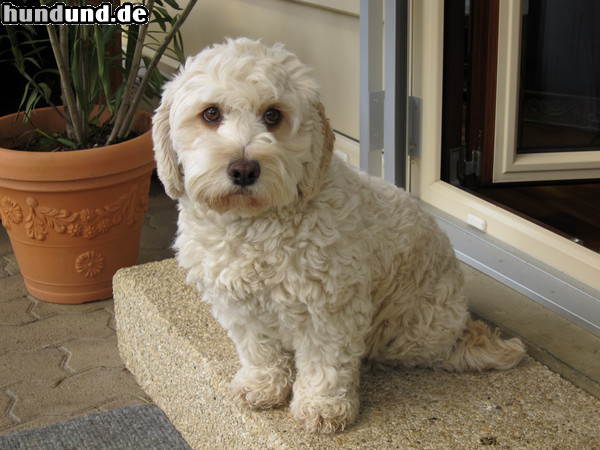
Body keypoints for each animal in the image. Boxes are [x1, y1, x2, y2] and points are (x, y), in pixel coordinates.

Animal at [151, 37, 524, 432]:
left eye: (273, 115)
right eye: (210, 114)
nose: (244, 169)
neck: (254, 227)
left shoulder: (329, 307)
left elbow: (325, 361)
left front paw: (322, 406)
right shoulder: (237, 304)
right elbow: (259, 349)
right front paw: (262, 384)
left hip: (411, 330)